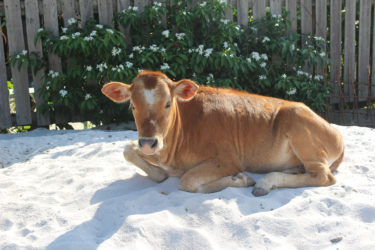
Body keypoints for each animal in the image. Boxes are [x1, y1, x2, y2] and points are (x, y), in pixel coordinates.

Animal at [101, 70, 346, 195]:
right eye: (132, 106)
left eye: (168, 103)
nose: (148, 143)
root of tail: (338, 135)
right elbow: (127, 149)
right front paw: (159, 174)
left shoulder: (228, 160)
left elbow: (188, 181)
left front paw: (241, 179)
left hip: (298, 123)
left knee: (323, 176)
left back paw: (265, 183)